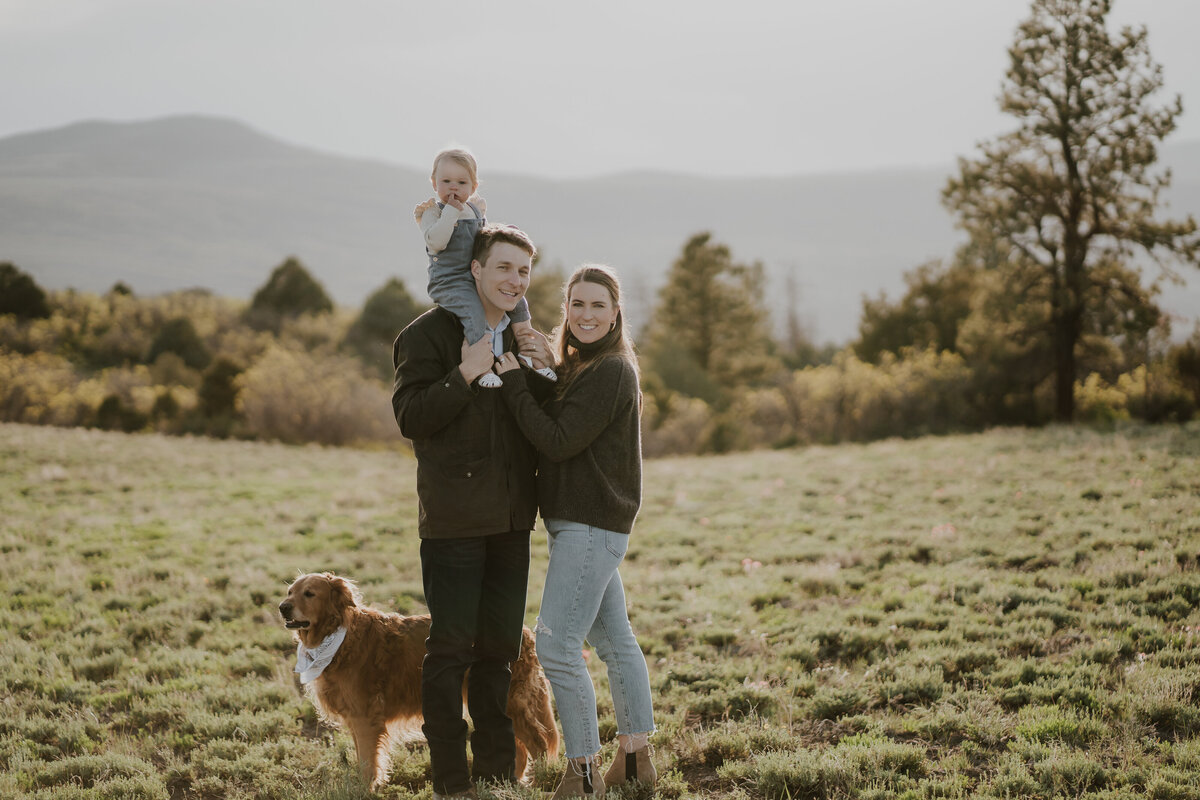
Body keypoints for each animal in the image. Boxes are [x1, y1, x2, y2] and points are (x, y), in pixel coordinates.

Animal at [278, 573, 559, 791]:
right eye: (290, 592)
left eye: (309, 593)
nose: (282, 607)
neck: (339, 635)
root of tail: (525, 632)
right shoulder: (356, 719)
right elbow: (361, 759)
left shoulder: (365, 719)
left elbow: (368, 763)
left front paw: (365, 789)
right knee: (520, 746)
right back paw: (511, 783)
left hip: (510, 702)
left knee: (538, 744)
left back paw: (538, 783)